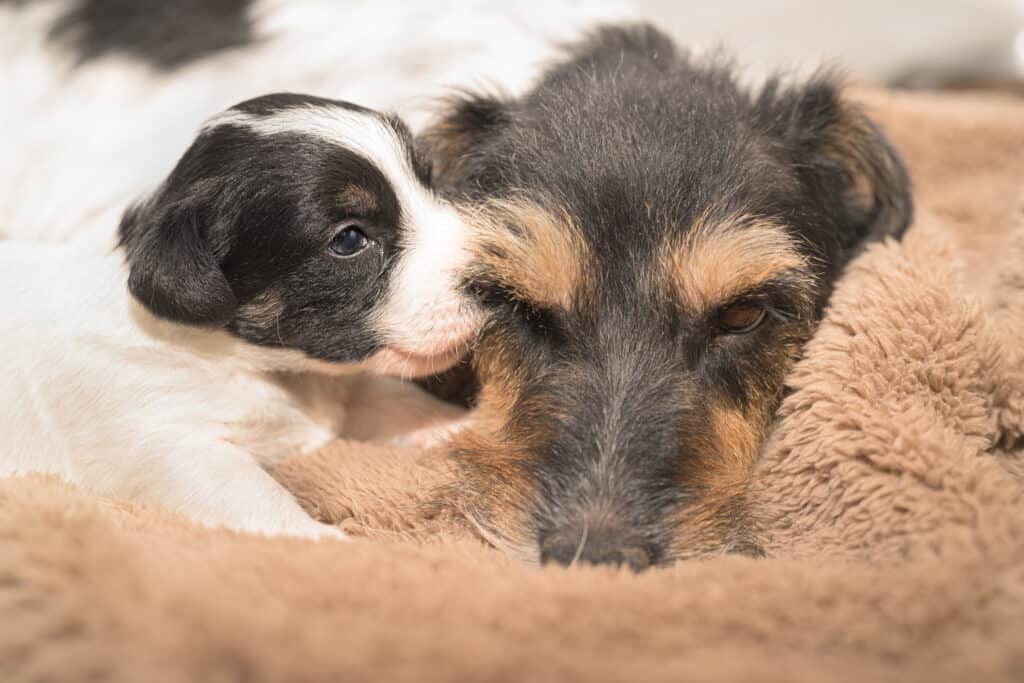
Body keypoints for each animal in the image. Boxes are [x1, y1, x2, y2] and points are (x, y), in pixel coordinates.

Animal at [1, 92, 479, 540]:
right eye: (348, 240)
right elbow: (256, 499)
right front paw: (338, 546)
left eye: (429, 182)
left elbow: (392, 398)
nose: (491, 279)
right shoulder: (168, 444)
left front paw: (460, 424)